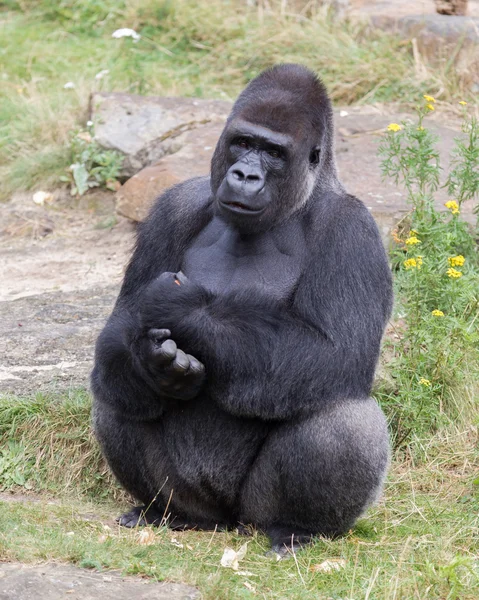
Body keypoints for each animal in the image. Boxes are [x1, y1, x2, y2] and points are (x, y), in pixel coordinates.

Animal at [91, 63, 394, 556]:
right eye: (243, 142)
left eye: (272, 152)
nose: (245, 175)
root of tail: (229, 521)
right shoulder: (170, 208)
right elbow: (116, 336)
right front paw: (155, 364)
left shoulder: (354, 230)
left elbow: (334, 352)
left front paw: (182, 309)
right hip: (197, 499)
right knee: (119, 391)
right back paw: (168, 511)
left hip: (255, 510)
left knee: (346, 418)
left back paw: (297, 528)